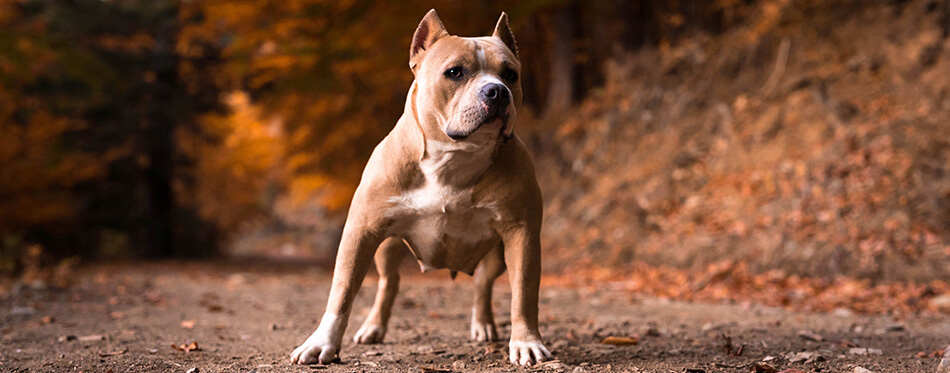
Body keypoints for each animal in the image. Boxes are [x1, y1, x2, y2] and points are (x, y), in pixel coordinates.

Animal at [288, 9, 552, 366]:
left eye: (510, 74)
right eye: (454, 73)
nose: (496, 91)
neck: (454, 158)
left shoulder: (521, 232)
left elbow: (524, 292)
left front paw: (526, 342)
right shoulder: (361, 231)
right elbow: (342, 291)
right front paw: (321, 343)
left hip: (497, 253)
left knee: (483, 283)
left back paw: (483, 325)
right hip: (387, 246)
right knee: (389, 283)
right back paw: (373, 327)